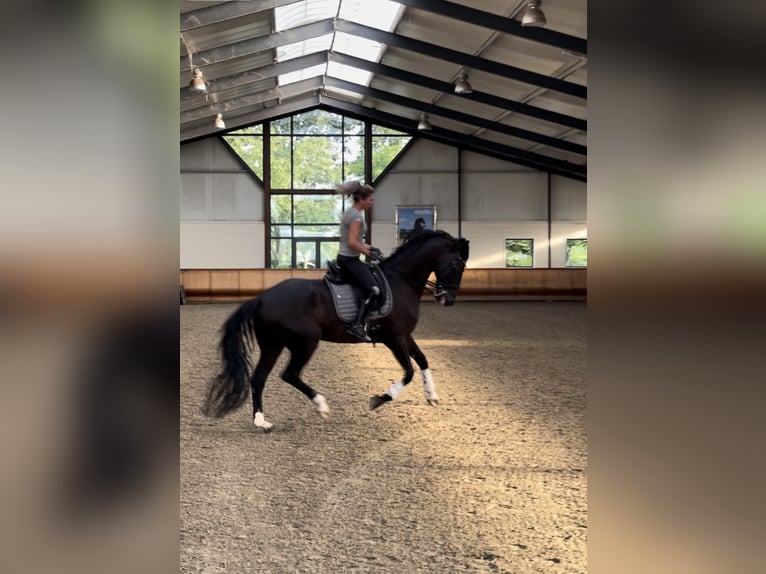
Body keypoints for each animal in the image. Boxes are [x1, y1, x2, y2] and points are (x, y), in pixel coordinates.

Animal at [201, 230, 470, 431]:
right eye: (458, 264)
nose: (447, 299)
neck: (400, 281)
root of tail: (261, 298)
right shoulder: (393, 338)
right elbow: (409, 371)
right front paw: (379, 399)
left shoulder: (405, 335)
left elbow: (422, 360)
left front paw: (431, 395)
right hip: (306, 342)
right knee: (289, 374)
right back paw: (321, 405)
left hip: (272, 345)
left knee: (259, 379)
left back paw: (261, 422)